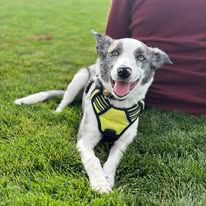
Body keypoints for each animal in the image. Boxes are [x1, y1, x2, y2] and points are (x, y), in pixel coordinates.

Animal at [14, 30, 172, 193]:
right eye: (114, 52)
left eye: (141, 57)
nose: (123, 71)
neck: (117, 104)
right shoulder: (85, 140)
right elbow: (93, 160)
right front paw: (100, 183)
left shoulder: (123, 142)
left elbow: (113, 159)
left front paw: (107, 177)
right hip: (79, 78)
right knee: (64, 101)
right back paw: (58, 112)